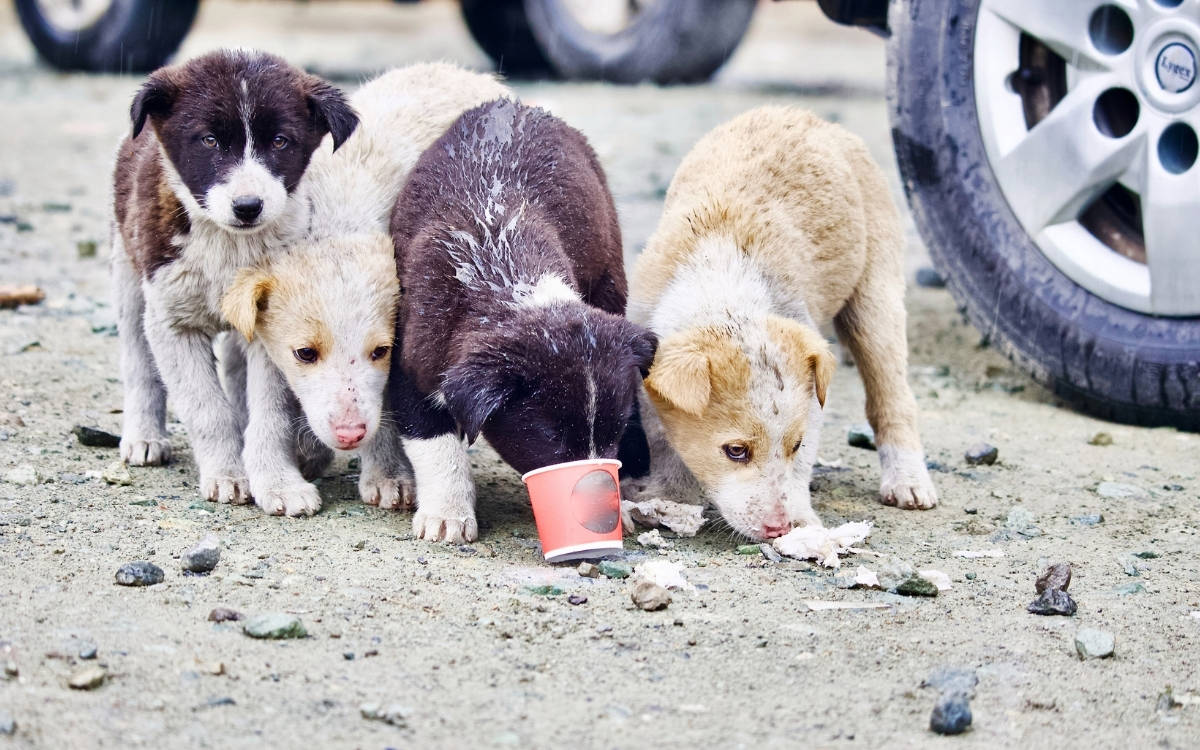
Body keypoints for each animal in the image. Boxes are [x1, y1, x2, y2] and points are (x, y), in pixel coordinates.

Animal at [112, 48, 355, 504]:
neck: (229, 245)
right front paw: (227, 473)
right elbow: (207, 409)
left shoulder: (271, 326)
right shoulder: (173, 321)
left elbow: (271, 413)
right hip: (128, 273)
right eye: (209, 141)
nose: (247, 206)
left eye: (280, 142)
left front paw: (278, 481)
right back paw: (144, 436)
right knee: (138, 361)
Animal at [388, 97, 657, 544]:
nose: (594, 501)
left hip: (609, 272)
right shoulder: (411, 360)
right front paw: (448, 513)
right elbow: (434, 440)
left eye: (612, 432)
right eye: (550, 436)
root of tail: (517, 104)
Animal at [628, 105, 936, 537]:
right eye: (736, 451)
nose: (779, 528)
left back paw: (907, 479)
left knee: (892, 396)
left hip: (877, 293)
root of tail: (809, 117)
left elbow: (800, 465)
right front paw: (669, 495)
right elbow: (662, 440)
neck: (723, 290)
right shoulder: (648, 369)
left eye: (795, 445)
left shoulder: (811, 399)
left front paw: (803, 519)